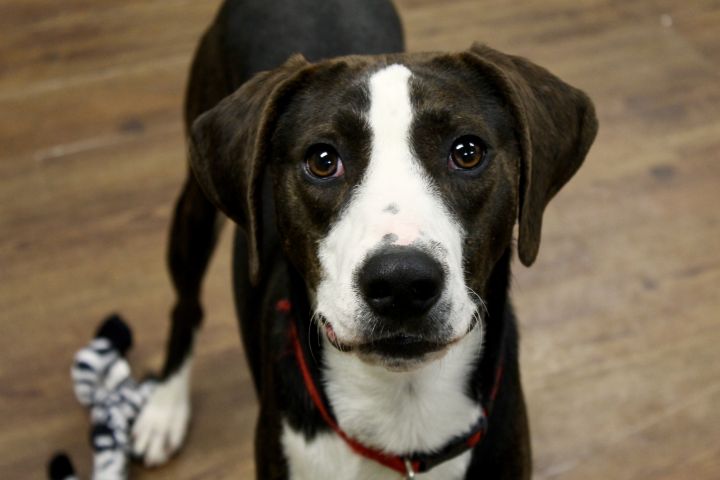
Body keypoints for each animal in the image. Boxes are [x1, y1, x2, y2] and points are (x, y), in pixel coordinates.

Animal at [129, 1, 596, 478]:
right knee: (187, 305)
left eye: (468, 152)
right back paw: (164, 409)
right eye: (322, 160)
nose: (401, 282)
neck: (403, 416)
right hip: (194, 208)